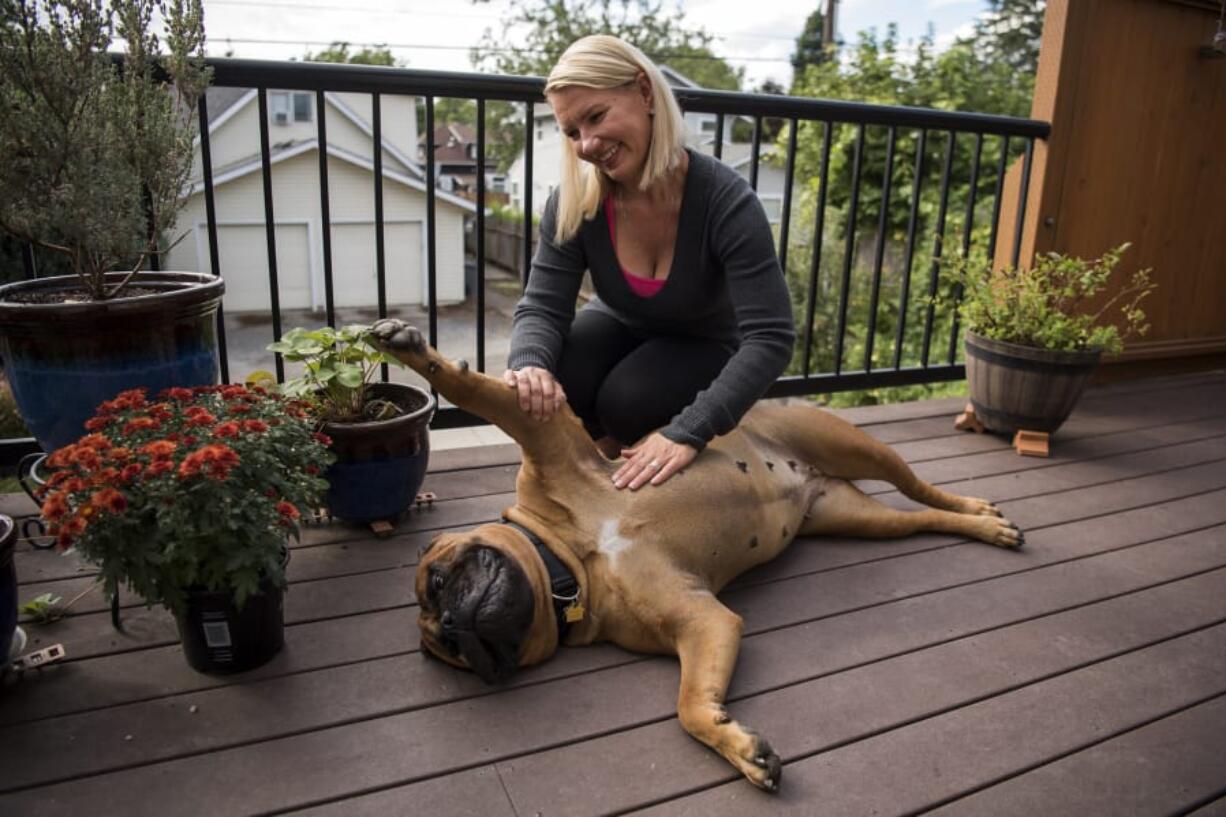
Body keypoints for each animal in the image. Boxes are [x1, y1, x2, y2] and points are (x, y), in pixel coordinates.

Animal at [367, 318, 1020, 790]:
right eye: (450, 647)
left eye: (439, 581)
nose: (453, 621)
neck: (569, 560)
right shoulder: (700, 622)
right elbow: (691, 705)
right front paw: (741, 748)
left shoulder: (544, 435)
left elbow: (479, 393)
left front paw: (405, 344)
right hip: (858, 519)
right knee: (920, 518)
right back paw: (982, 528)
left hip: (856, 447)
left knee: (924, 489)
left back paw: (981, 513)